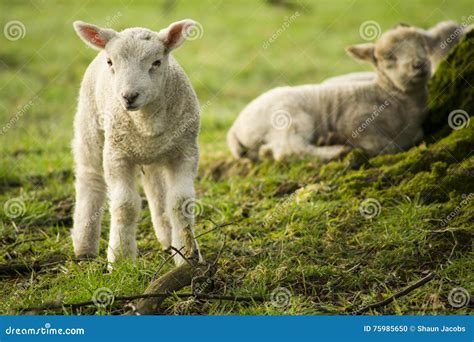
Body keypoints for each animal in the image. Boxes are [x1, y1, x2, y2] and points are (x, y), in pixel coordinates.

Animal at [71, 18, 201, 266]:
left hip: (153, 157)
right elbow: (125, 206)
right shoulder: (116, 155)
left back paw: (166, 239)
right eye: (111, 62)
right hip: (90, 124)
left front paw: (187, 256)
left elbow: (180, 203)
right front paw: (120, 259)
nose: (129, 96)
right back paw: (84, 247)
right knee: (90, 178)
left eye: (157, 62)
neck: (146, 124)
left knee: (156, 190)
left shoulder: (185, 152)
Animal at [227, 20, 462, 161]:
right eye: (388, 57)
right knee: (290, 149)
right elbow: (388, 147)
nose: (419, 64)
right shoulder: (357, 122)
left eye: (422, 44)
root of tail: (235, 127)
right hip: (289, 118)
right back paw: (334, 149)